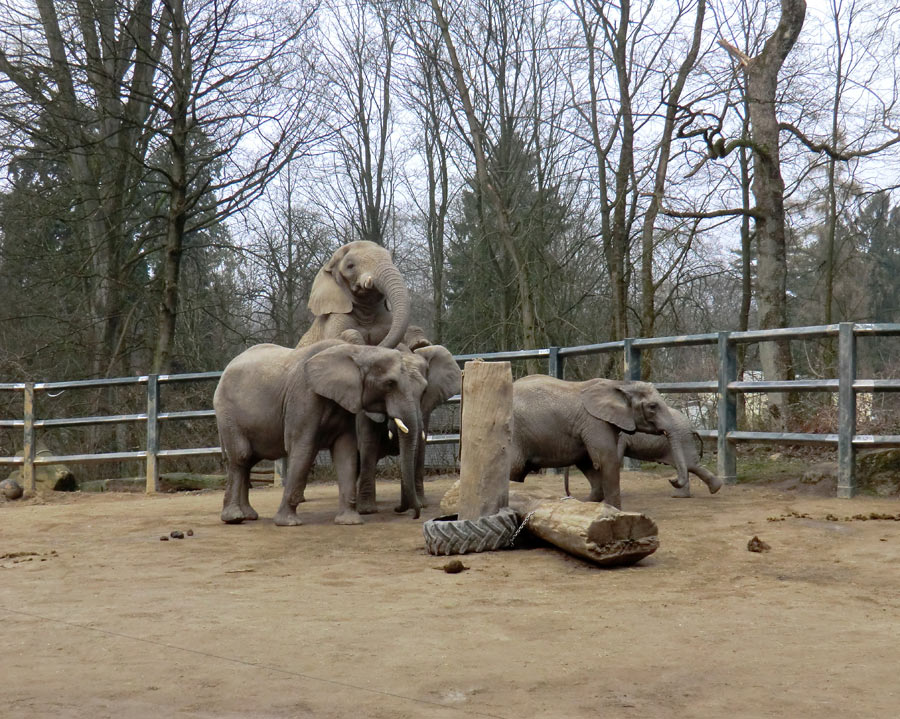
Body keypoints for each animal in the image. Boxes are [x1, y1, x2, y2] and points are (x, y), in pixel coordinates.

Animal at [213, 340, 428, 524]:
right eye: (390, 383)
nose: (412, 514)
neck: (359, 351)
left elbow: (346, 452)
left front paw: (350, 521)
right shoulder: (304, 397)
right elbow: (304, 448)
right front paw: (288, 523)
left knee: (248, 460)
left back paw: (249, 516)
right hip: (227, 414)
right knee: (241, 456)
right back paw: (234, 518)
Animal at [356, 342, 460, 516]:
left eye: (424, 391)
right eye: (388, 386)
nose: (397, 508)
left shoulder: (426, 407)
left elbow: (420, 445)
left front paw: (421, 504)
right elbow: (368, 445)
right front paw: (367, 511)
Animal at [510, 374, 684, 510]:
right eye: (652, 406)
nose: (673, 480)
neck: (619, 384)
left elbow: (588, 462)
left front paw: (584, 505)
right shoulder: (595, 423)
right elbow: (607, 460)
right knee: (514, 467)